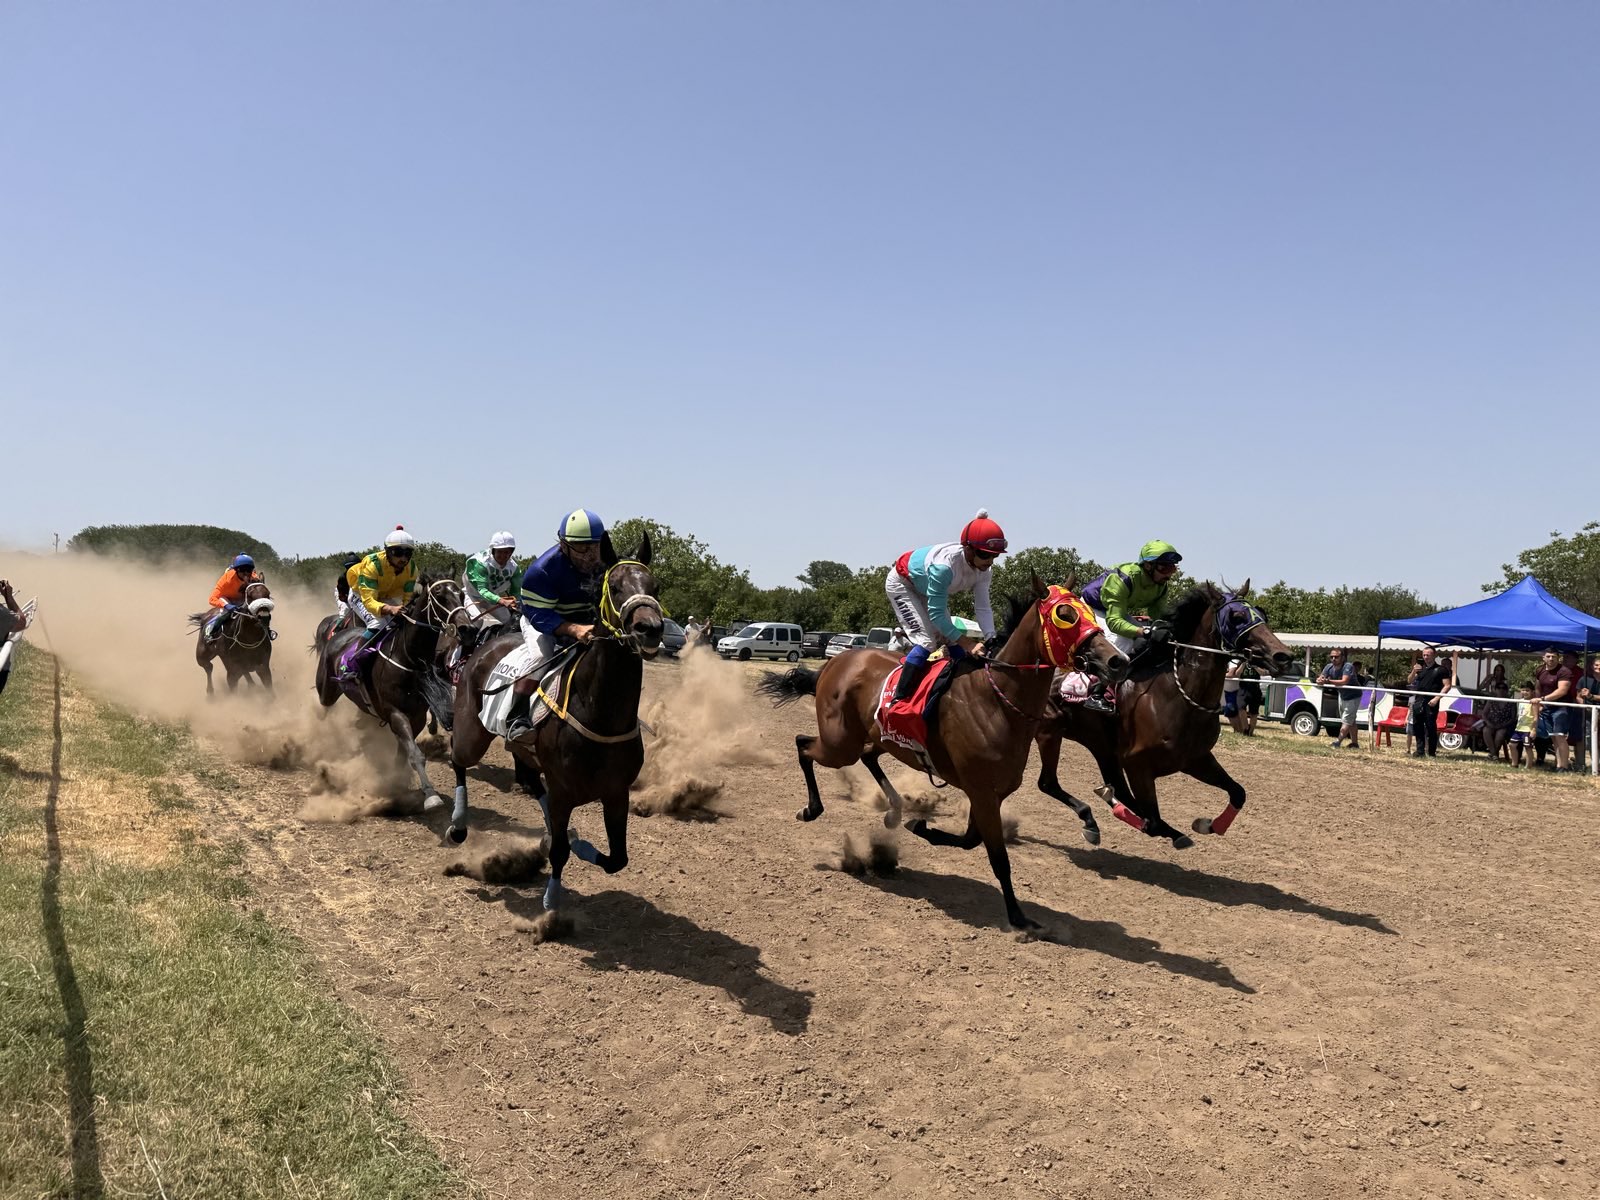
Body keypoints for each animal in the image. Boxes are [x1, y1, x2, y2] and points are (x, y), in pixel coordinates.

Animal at [308, 576, 467, 838]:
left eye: (462, 594)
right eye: (440, 595)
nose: (466, 626)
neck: (407, 658)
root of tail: (338, 636)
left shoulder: (416, 717)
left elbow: (404, 755)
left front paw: (398, 789)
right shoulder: (396, 714)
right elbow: (415, 755)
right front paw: (431, 797)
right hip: (326, 690)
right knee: (322, 710)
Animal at [451, 534, 668, 908]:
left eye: (654, 586)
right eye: (614, 587)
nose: (649, 629)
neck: (600, 715)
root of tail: (483, 646)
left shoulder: (616, 793)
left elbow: (617, 858)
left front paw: (578, 843)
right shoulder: (564, 792)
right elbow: (561, 853)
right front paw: (551, 901)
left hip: (523, 753)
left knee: (531, 783)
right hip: (472, 732)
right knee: (458, 760)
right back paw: (459, 824)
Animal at [758, 579, 1126, 934]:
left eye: (1089, 613)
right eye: (1066, 615)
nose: (1117, 660)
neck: (996, 702)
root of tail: (835, 662)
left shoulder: (993, 793)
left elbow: (970, 840)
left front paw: (921, 826)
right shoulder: (981, 791)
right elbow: (998, 858)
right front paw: (1018, 917)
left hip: (877, 737)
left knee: (864, 756)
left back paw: (894, 810)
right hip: (840, 743)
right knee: (803, 744)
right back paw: (812, 809)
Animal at [1030, 585, 1292, 857]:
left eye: (1261, 613)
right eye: (1236, 617)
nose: (1283, 655)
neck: (1178, 695)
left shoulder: (1195, 759)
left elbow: (1238, 792)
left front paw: (1209, 825)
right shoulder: (1137, 764)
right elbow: (1152, 823)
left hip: (1100, 745)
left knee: (1118, 789)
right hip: (1050, 733)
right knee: (1048, 783)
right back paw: (1093, 818)